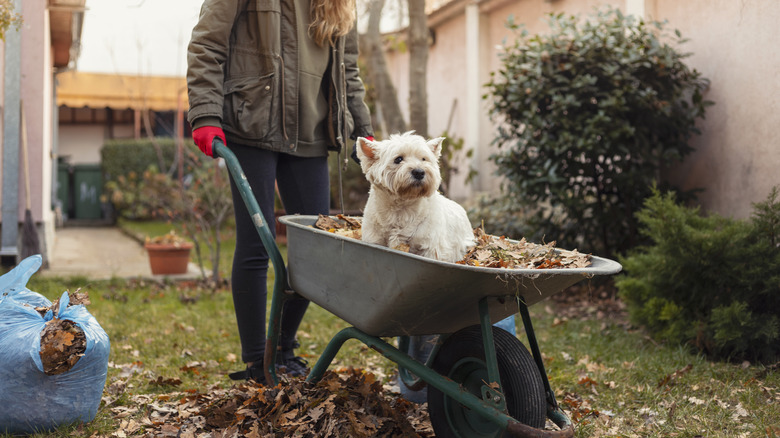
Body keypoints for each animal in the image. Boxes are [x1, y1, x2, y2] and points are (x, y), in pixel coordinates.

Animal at [354, 132, 476, 262]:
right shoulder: (374, 239)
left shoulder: (432, 249)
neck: (402, 208)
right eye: (398, 159)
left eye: (424, 159)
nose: (419, 172)